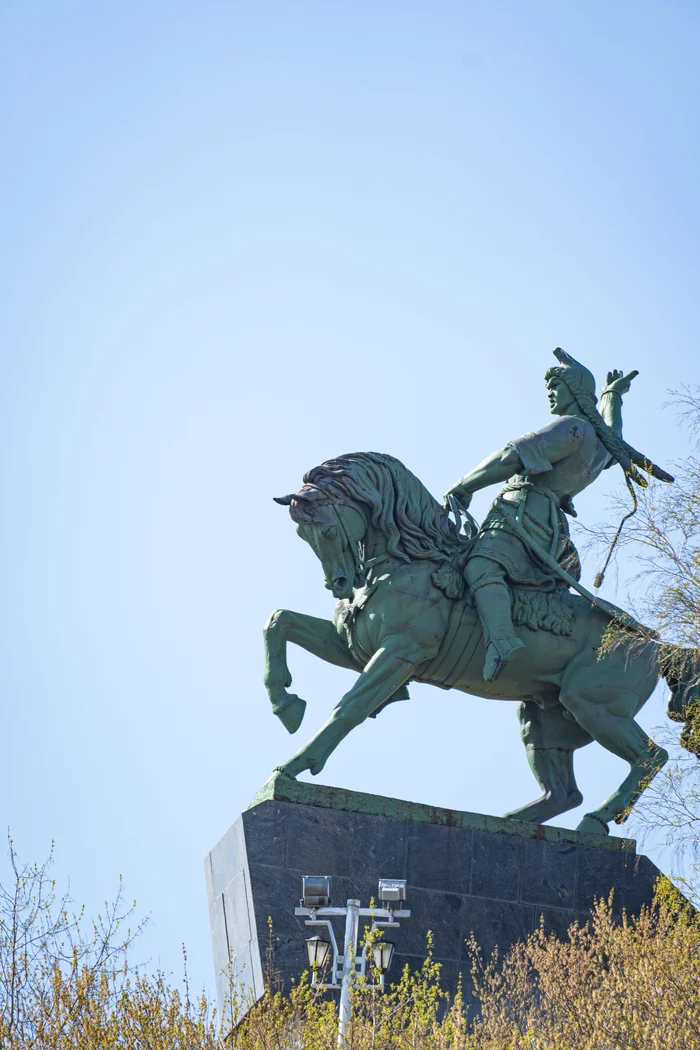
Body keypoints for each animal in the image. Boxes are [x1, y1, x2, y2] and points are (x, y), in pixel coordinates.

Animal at [264, 451, 700, 835]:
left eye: (327, 529)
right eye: (302, 534)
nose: (339, 584)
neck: (407, 561)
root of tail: (657, 646)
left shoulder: (399, 653)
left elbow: (349, 707)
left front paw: (293, 767)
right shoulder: (355, 649)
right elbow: (279, 622)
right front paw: (286, 705)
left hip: (593, 708)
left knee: (650, 757)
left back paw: (595, 821)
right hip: (543, 716)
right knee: (563, 793)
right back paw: (508, 822)